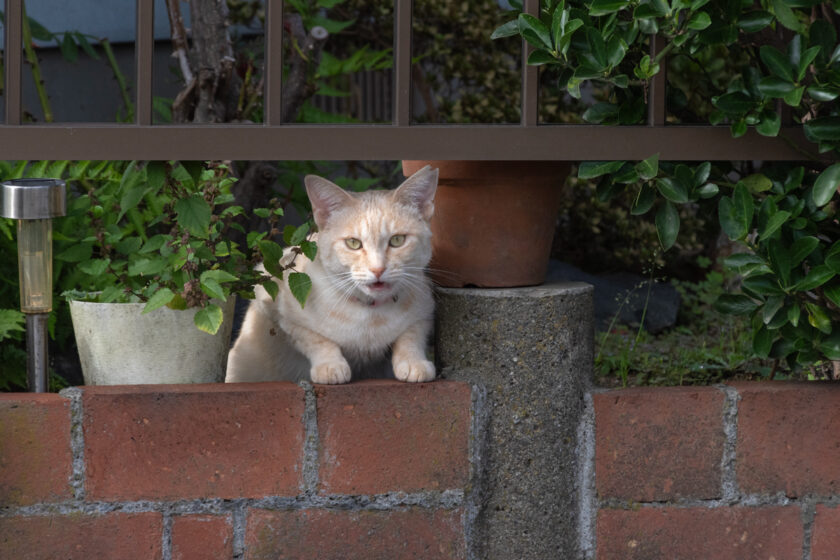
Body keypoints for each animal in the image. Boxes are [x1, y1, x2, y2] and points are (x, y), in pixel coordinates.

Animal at [223, 166, 440, 384]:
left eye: (397, 240)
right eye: (353, 243)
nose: (378, 269)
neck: (371, 314)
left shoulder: (424, 312)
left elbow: (410, 336)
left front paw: (413, 362)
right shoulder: (274, 303)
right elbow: (317, 339)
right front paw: (330, 366)